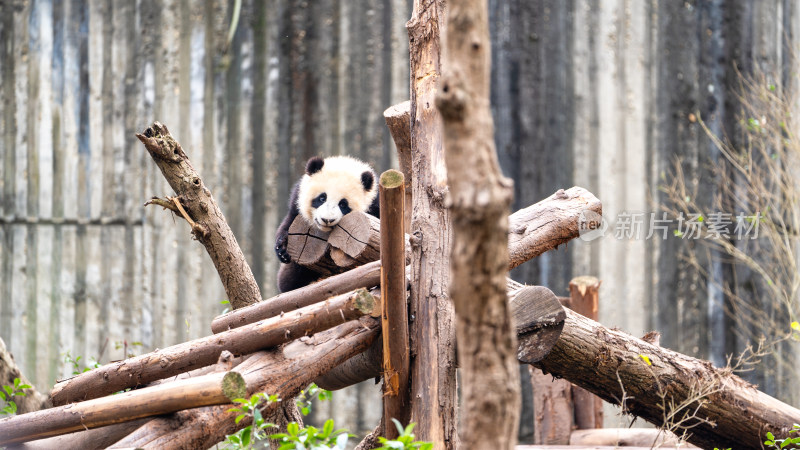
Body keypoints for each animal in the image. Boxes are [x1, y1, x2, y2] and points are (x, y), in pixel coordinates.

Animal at [276, 156, 382, 292]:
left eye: (343, 204)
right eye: (322, 198)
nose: (327, 220)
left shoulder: (376, 205)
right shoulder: (297, 200)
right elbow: (288, 222)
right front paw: (282, 250)